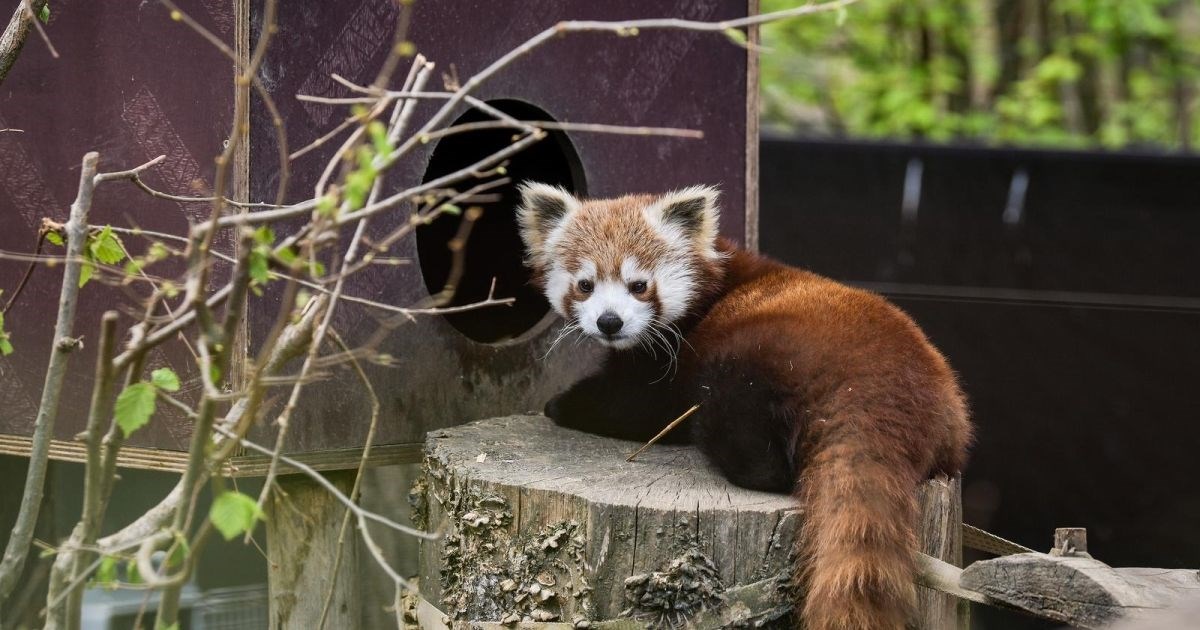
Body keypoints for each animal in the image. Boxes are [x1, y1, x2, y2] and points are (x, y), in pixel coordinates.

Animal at [518, 181, 974, 628]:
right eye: (585, 285)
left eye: (639, 285)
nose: (609, 322)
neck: (716, 283)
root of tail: (882, 388)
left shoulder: (676, 359)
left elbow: (638, 406)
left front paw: (561, 404)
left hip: (759, 359)